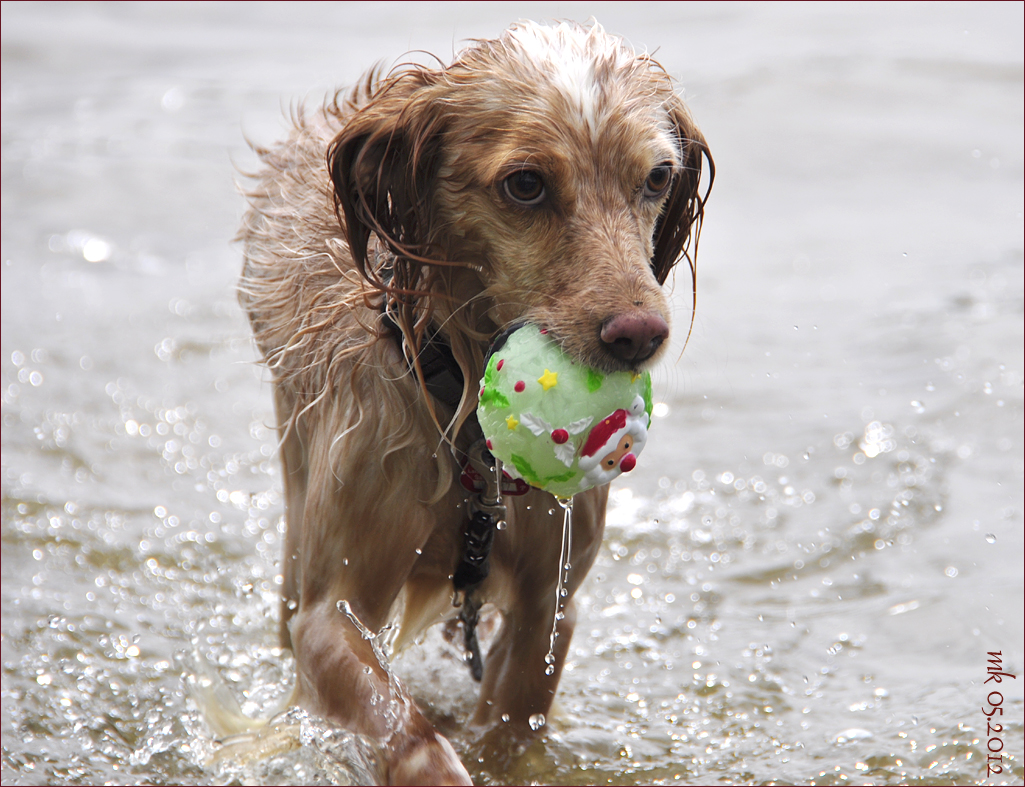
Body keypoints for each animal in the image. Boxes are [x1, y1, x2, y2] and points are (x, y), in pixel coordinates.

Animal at [235, 21, 709, 782]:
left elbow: (509, 728)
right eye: (525, 184)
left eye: (658, 177)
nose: (639, 334)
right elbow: (405, 729)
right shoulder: (327, 615)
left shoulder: (549, 606)